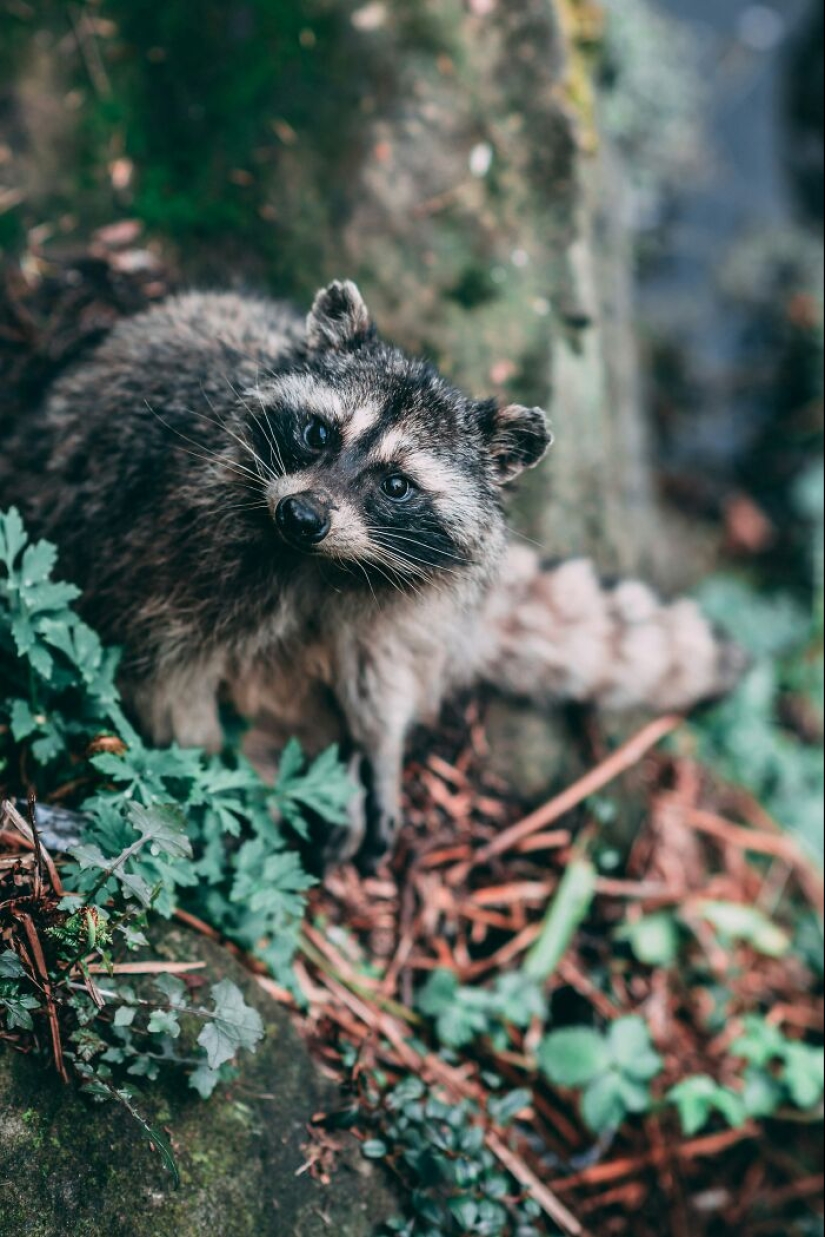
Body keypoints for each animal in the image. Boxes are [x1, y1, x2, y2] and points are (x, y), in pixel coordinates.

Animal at [0, 280, 747, 860]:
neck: (322, 562)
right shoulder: (178, 546)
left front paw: (380, 749)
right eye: (317, 433)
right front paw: (228, 768)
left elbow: (381, 676)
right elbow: (167, 677)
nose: (301, 513)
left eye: (395, 485)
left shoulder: (405, 602)